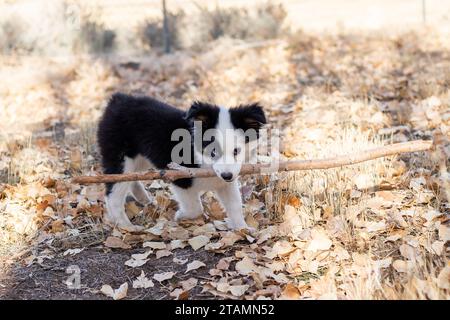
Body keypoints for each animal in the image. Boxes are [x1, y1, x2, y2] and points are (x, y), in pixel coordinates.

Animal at [97, 92, 268, 230]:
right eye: (213, 151)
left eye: (236, 151)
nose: (227, 175)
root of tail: (118, 99)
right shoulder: (181, 178)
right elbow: (195, 208)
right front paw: (180, 215)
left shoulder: (225, 182)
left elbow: (235, 205)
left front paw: (243, 229)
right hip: (120, 158)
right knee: (113, 194)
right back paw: (126, 226)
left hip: (139, 158)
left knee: (131, 178)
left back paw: (144, 199)